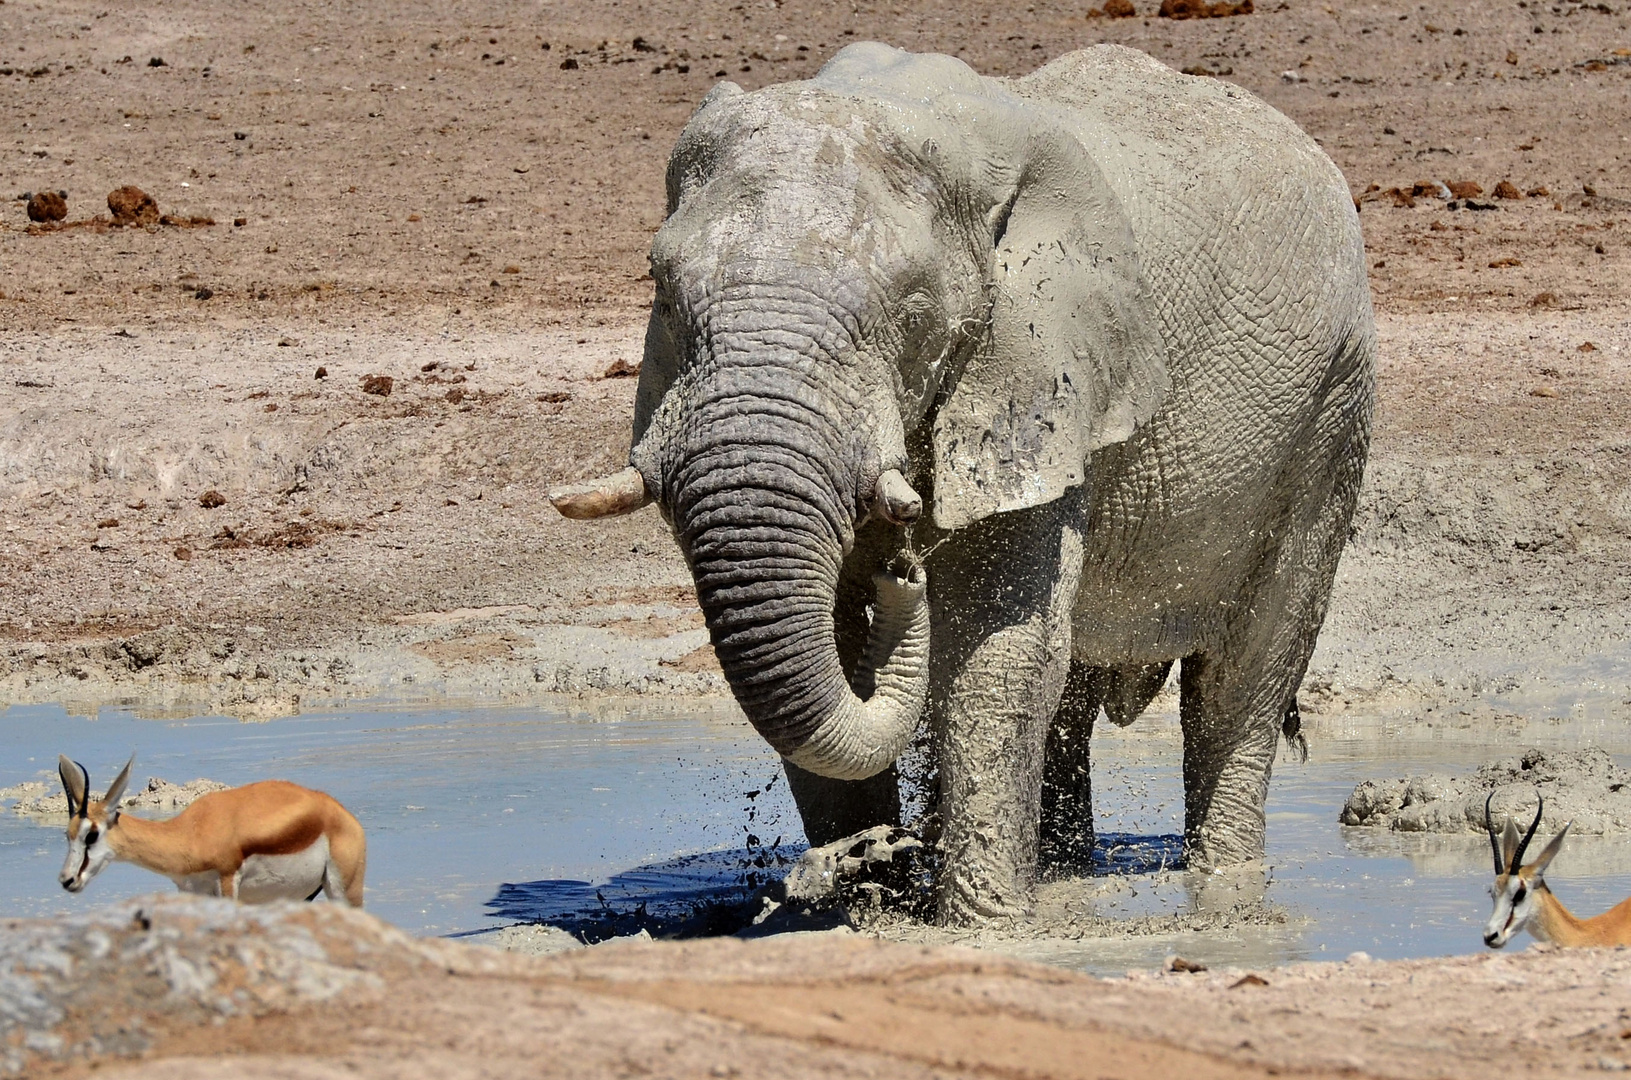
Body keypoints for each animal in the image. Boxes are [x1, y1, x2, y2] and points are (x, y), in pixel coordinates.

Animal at [554, 44, 1370, 933]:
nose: (902, 571)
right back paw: (1063, 872)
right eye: (661, 289)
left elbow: (996, 653)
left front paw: (983, 926)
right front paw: (853, 905)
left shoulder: (1043, 369)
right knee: (1075, 693)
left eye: (913, 313)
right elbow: (836, 638)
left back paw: (1222, 889)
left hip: (1331, 416)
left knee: (1240, 680)